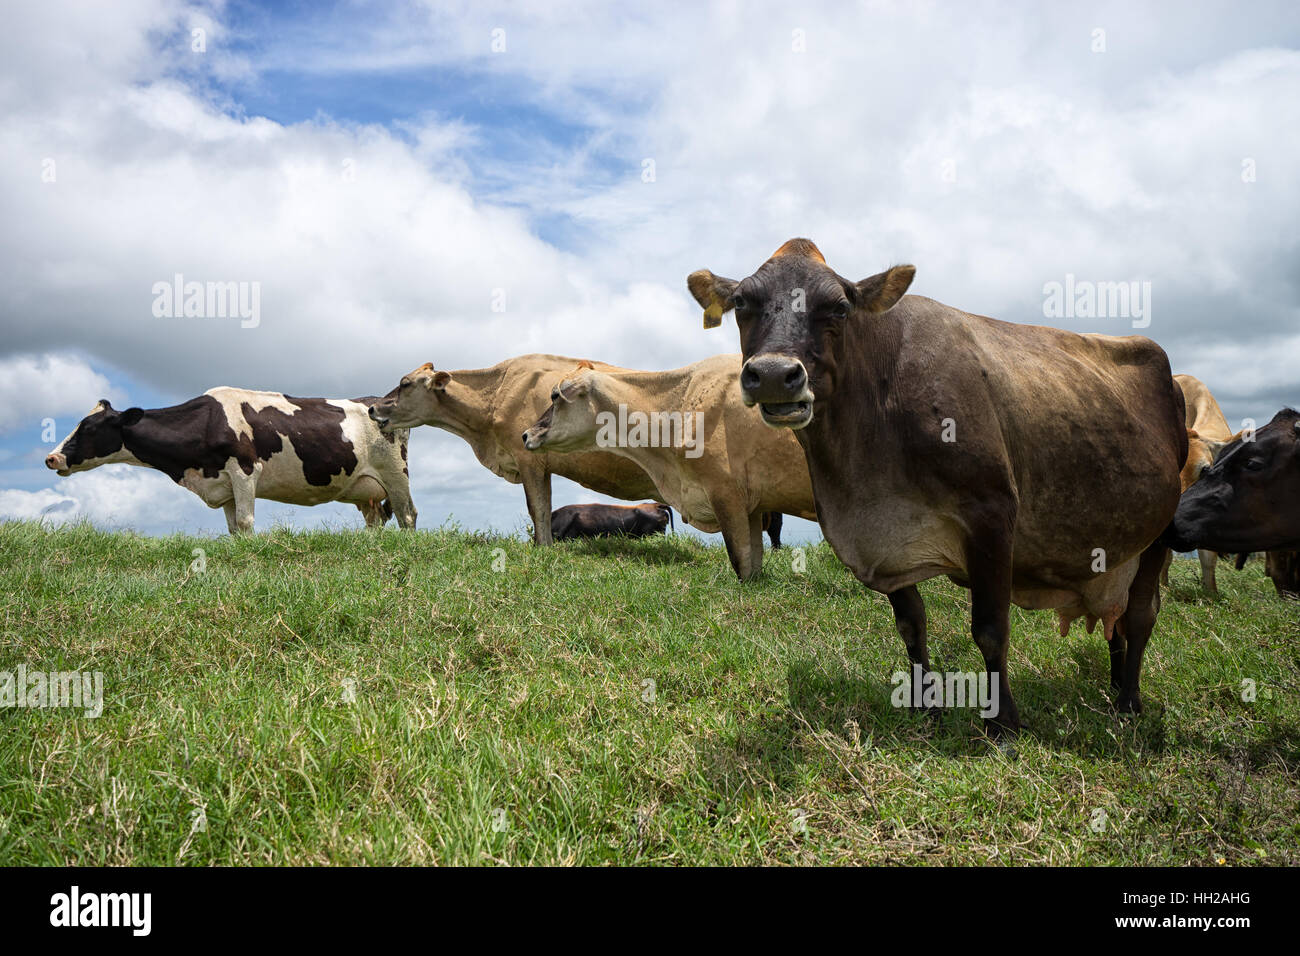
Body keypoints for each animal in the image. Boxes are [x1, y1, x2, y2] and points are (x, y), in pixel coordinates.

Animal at [45, 389, 415, 533]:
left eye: (89, 427)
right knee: (375, 520)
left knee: (407, 515)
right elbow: (233, 527)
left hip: (396, 472)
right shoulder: (222, 486)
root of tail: (376, 400)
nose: (51, 457)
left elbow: (246, 522)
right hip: (364, 489)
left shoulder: (245, 471)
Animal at [521, 355, 817, 580]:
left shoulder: (726, 496)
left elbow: (740, 561)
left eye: (555, 395)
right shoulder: (753, 507)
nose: (525, 435)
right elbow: (753, 564)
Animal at [687, 238, 1186, 734]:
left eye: (839, 307)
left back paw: (1128, 701)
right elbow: (912, 625)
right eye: (741, 303)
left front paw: (1003, 722)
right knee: (1114, 620)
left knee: (1139, 617)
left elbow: (990, 629)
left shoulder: (991, 512)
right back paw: (1113, 684)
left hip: (1161, 528)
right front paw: (925, 706)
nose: (774, 374)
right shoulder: (884, 542)